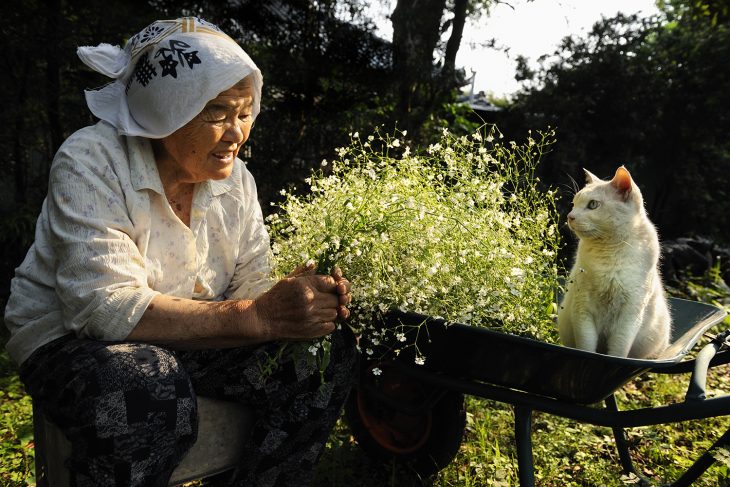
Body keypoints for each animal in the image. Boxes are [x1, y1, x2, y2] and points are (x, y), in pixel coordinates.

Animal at [556, 166, 672, 360]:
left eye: (593, 205)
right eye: (574, 203)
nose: (570, 216)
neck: (609, 253)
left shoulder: (630, 314)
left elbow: (619, 350)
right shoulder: (582, 309)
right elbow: (586, 347)